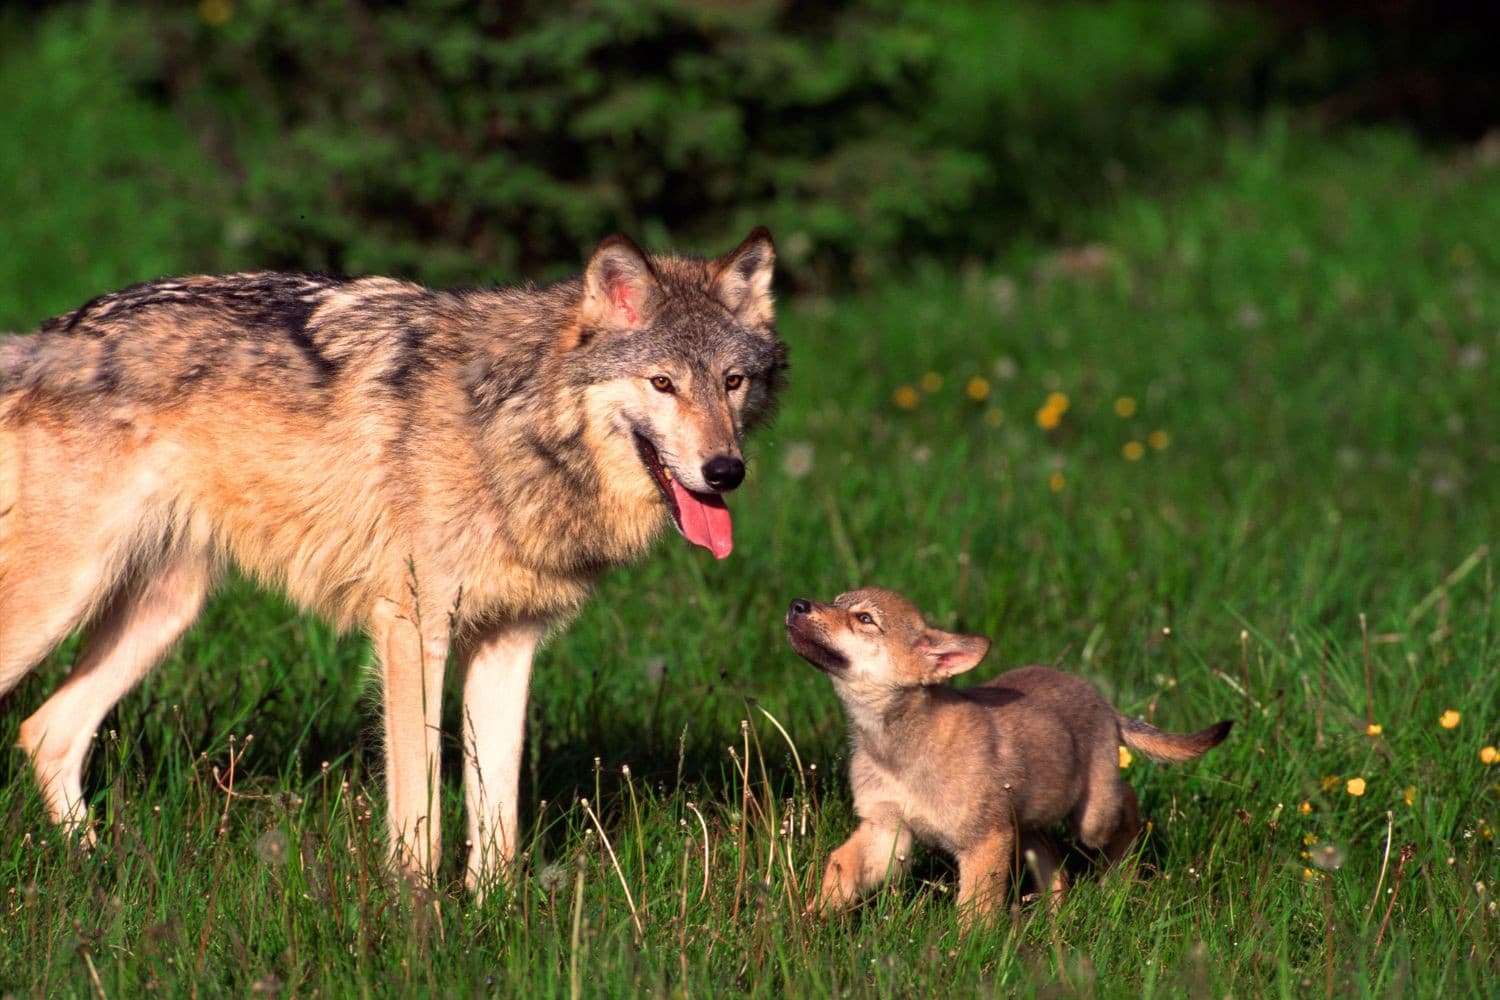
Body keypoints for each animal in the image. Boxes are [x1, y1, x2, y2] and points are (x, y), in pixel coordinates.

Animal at [0, 228, 785, 889]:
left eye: (732, 382)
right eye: (663, 383)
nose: (726, 472)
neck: (511, 426)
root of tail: (46, 336)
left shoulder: (509, 643)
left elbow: (496, 814)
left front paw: (493, 917)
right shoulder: (413, 632)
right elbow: (420, 814)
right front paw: (416, 923)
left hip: (164, 613)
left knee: (47, 731)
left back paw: (100, 868)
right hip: (61, 603)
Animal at [785, 588, 1230, 925]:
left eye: (864, 619)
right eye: (835, 599)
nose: (796, 604)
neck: (896, 747)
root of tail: (1104, 703)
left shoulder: (985, 840)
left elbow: (974, 912)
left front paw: (964, 957)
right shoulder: (885, 831)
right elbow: (839, 870)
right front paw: (809, 924)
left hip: (1092, 818)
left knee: (1128, 804)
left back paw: (1119, 880)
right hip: (1028, 822)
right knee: (1056, 866)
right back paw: (1054, 919)